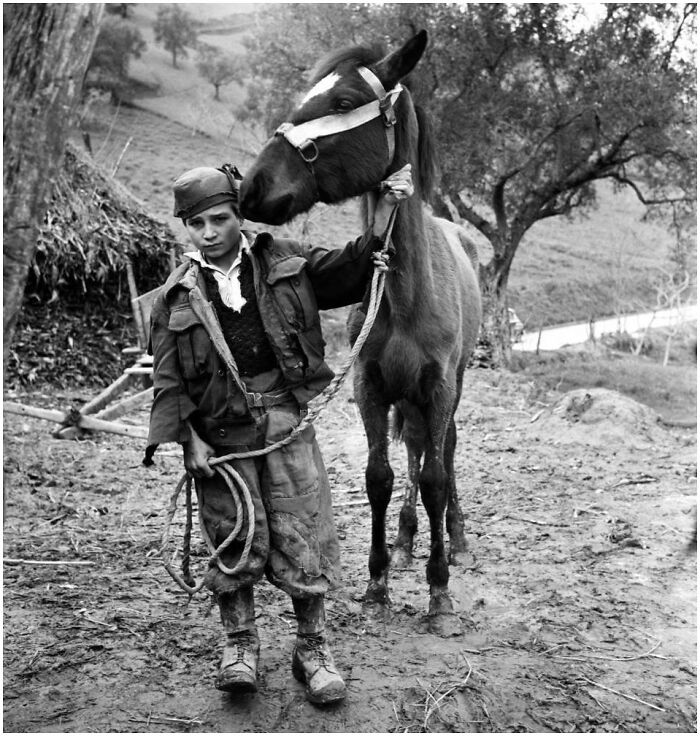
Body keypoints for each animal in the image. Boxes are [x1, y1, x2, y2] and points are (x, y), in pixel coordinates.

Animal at [241, 31, 482, 636]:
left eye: (346, 101)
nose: (252, 186)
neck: (404, 291)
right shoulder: (370, 387)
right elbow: (380, 476)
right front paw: (378, 582)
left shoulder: (439, 388)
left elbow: (437, 477)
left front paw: (439, 592)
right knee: (416, 449)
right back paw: (405, 540)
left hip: (452, 390)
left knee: (444, 451)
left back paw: (456, 538)